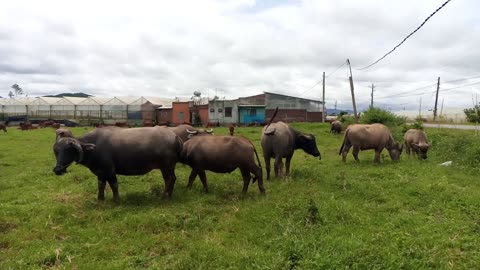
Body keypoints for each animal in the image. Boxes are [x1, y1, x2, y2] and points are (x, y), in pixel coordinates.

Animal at [52, 126, 183, 200]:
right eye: (56, 151)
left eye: (69, 150)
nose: (57, 170)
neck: (94, 147)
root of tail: (175, 136)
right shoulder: (100, 173)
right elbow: (101, 185)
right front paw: (100, 199)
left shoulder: (110, 170)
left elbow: (114, 185)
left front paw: (116, 199)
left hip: (167, 166)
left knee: (170, 179)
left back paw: (165, 196)